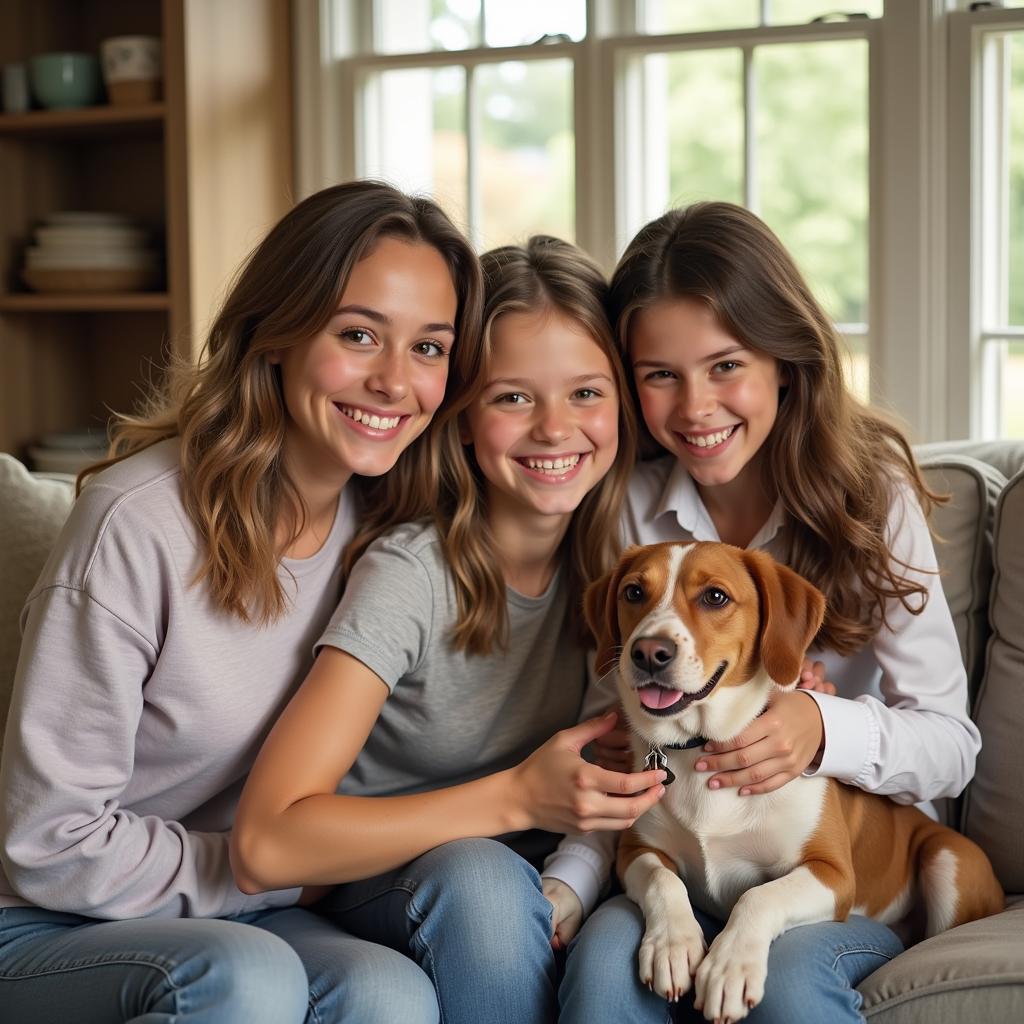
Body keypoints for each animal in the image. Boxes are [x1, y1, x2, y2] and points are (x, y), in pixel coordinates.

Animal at [589, 540, 1003, 1019]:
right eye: (634, 592)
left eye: (715, 597)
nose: (649, 652)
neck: (699, 748)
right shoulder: (637, 852)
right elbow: (664, 881)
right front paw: (673, 944)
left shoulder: (833, 874)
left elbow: (759, 895)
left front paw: (730, 966)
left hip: (948, 860)